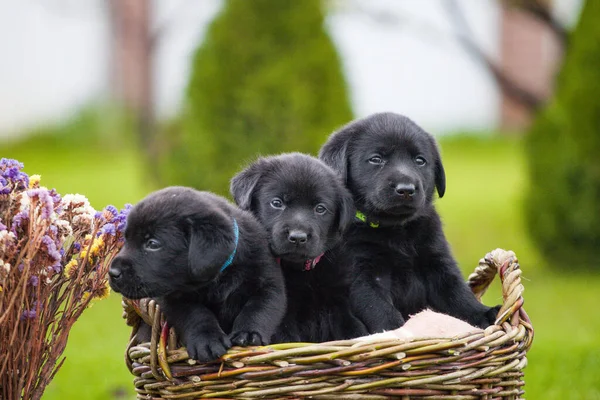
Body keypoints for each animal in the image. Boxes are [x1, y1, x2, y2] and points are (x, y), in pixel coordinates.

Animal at [109, 188, 288, 362]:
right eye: (126, 239)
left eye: (152, 244)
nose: (113, 273)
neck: (219, 278)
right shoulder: (173, 298)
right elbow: (196, 314)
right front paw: (207, 341)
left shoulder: (269, 282)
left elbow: (258, 308)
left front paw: (248, 333)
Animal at [232, 152, 368, 340]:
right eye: (277, 203)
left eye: (320, 208)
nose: (297, 237)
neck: (302, 272)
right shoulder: (285, 317)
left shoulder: (339, 302)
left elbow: (354, 330)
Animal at [322, 112, 500, 332]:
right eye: (376, 159)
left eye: (420, 160)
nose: (406, 189)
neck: (396, 231)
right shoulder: (361, 275)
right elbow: (378, 308)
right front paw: (399, 332)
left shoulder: (438, 263)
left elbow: (458, 295)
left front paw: (485, 313)